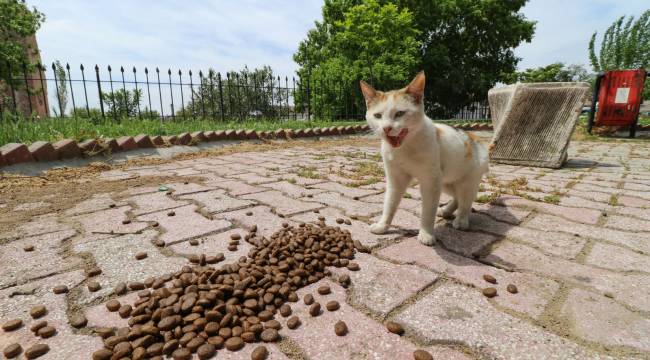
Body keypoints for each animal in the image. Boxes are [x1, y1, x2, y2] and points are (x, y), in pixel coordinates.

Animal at [360, 71, 486, 245]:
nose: (386, 128)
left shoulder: (431, 181)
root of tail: (476, 139)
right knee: (457, 197)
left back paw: (461, 220)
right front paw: (383, 225)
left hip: (465, 182)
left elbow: (428, 210)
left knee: (466, 200)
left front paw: (426, 233)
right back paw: (446, 210)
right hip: (446, 182)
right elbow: (389, 203)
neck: (405, 148)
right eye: (377, 115)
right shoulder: (395, 179)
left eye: (400, 113)